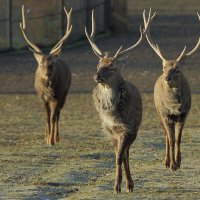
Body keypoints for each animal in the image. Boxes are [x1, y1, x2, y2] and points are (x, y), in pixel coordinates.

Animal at [20, 4, 72, 145]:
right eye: (40, 64)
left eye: (52, 64)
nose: (47, 74)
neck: (48, 90)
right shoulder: (41, 97)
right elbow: (47, 117)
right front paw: (47, 138)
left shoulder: (58, 95)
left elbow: (53, 117)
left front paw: (51, 140)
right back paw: (45, 134)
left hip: (65, 93)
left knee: (58, 113)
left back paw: (56, 137)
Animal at [85, 9, 150, 194]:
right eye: (98, 64)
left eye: (112, 67)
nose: (96, 76)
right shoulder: (110, 131)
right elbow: (117, 156)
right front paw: (117, 184)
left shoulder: (126, 129)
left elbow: (120, 157)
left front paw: (118, 186)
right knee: (124, 154)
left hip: (135, 128)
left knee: (127, 152)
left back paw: (130, 184)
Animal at [143, 8, 200, 172]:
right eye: (164, 68)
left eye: (177, 70)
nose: (166, 78)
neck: (174, 106)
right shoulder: (165, 114)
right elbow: (171, 139)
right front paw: (172, 165)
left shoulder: (183, 114)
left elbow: (178, 139)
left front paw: (178, 162)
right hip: (158, 112)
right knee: (167, 137)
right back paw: (166, 161)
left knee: (171, 137)